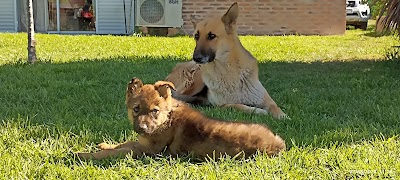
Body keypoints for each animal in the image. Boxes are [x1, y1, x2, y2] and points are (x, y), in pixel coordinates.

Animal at [76, 78, 286, 160]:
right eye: (136, 109)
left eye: (154, 111)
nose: (142, 128)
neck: (166, 119)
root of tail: (279, 143)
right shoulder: (141, 144)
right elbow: (123, 143)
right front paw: (105, 145)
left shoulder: (147, 150)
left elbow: (121, 150)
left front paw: (85, 155)